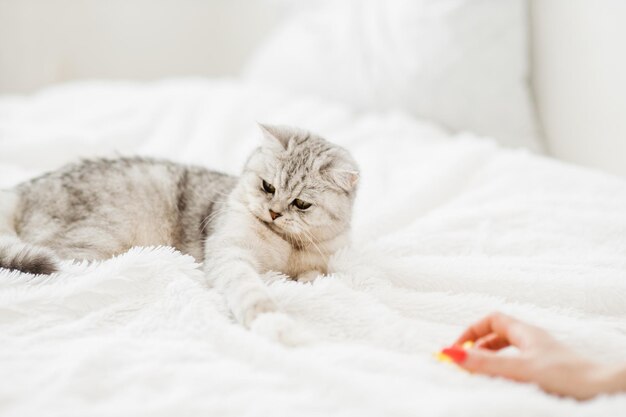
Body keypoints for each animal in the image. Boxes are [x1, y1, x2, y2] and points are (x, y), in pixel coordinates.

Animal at [0, 125, 358, 342]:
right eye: (267, 186)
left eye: (301, 204)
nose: (273, 212)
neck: (287, 245)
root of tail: (22, 190)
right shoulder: (230, 254)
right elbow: (253, 292)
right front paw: (274, 324)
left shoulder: (321, 262)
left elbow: (315, 275)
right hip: (96, 240)